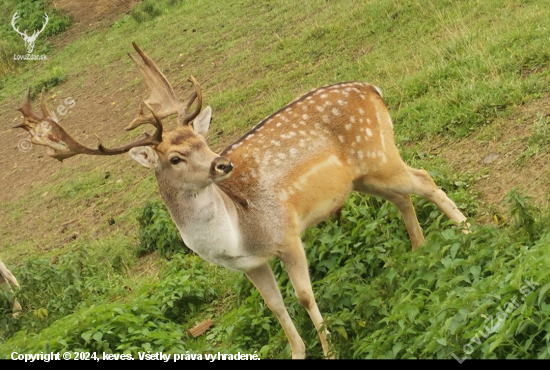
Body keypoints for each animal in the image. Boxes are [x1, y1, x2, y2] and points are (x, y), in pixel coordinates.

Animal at [14, 42, 470, 356]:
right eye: (175, 157)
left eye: (202, 139)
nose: (222, 164)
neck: (236, 233)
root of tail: (373, 88)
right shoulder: (249, 265)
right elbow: (275, 307)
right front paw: (298, 352)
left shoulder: (286, 234)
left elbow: (304, 296)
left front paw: (330, 349)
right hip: (363, 177)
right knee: (402, 198)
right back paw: (419, 249)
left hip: (378, 153)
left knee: (424, 178)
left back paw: (468, 232)